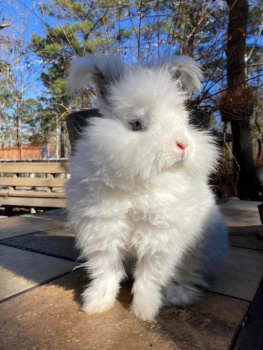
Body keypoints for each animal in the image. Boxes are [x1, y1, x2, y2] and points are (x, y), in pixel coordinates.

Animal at [66, 54, 229, 320]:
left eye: (183, 122)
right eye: (136, 124)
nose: (183, 145)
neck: (140, 185)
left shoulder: (160, 242)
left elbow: (149, 278)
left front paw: (144, 312)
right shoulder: (103, 235)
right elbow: (106, 273)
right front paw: (96, 305)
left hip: (201, 250)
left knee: (191, 275)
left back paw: (178, 296)